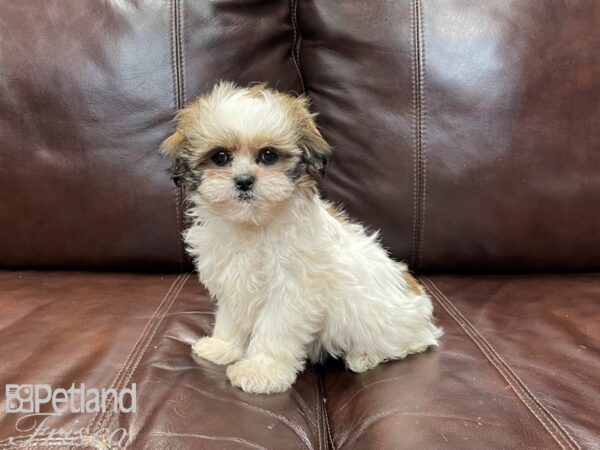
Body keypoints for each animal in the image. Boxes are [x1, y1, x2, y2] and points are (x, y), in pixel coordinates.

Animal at [159, 81, 440, 394]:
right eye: (220, 157)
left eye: (268, 155)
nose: (244, 180)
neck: (254, 224)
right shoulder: (233, 279)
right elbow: (231, 317)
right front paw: (223, 347)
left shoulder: (292, 291)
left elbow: (275, 329)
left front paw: (261, 371)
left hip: (384, 324)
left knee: (413, 343)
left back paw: (365, 356)